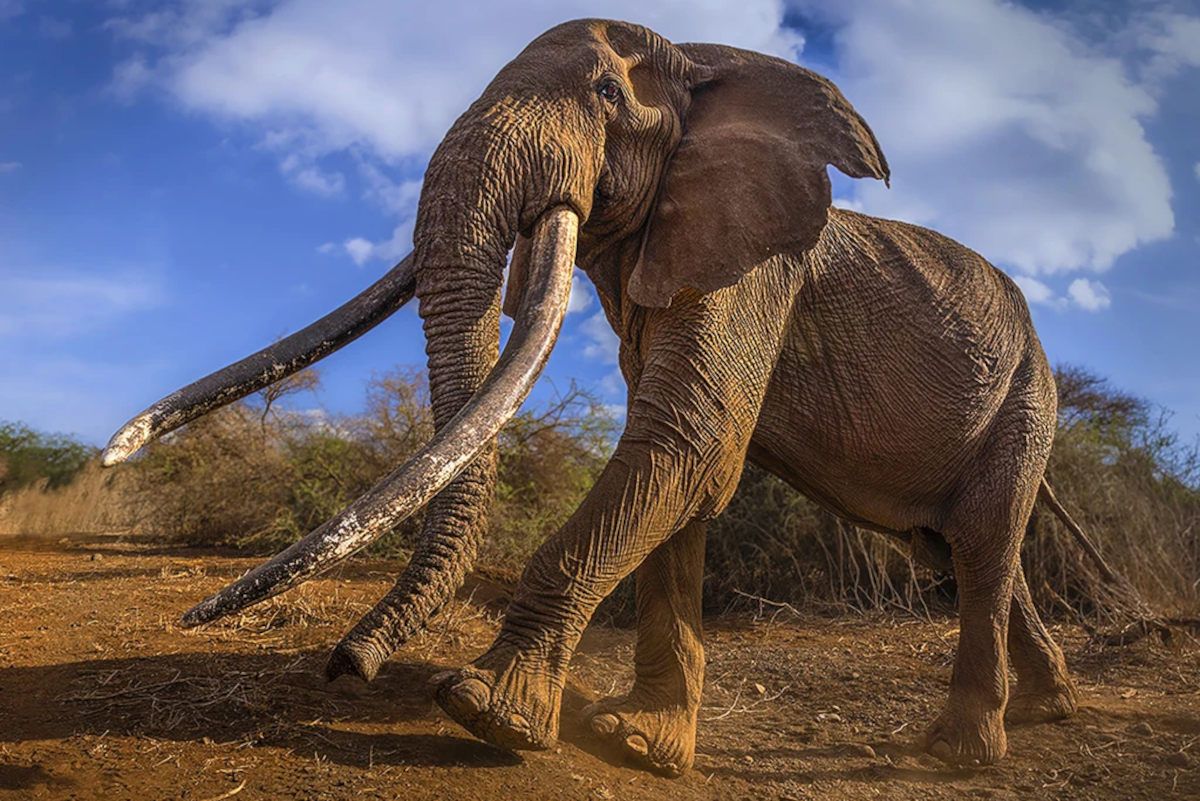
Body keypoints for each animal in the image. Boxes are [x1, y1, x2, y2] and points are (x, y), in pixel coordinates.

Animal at [105, 18, 1104, 775]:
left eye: (604, 96)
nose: (346, 666)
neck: (706, 60)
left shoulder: (756, 266)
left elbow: (689, 441)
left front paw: (486, 712)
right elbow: (682, 470)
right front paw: (636, 741)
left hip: (1028, 396)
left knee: (982, 542)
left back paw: (959, 753)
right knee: (955, 549)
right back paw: (1051, 708)